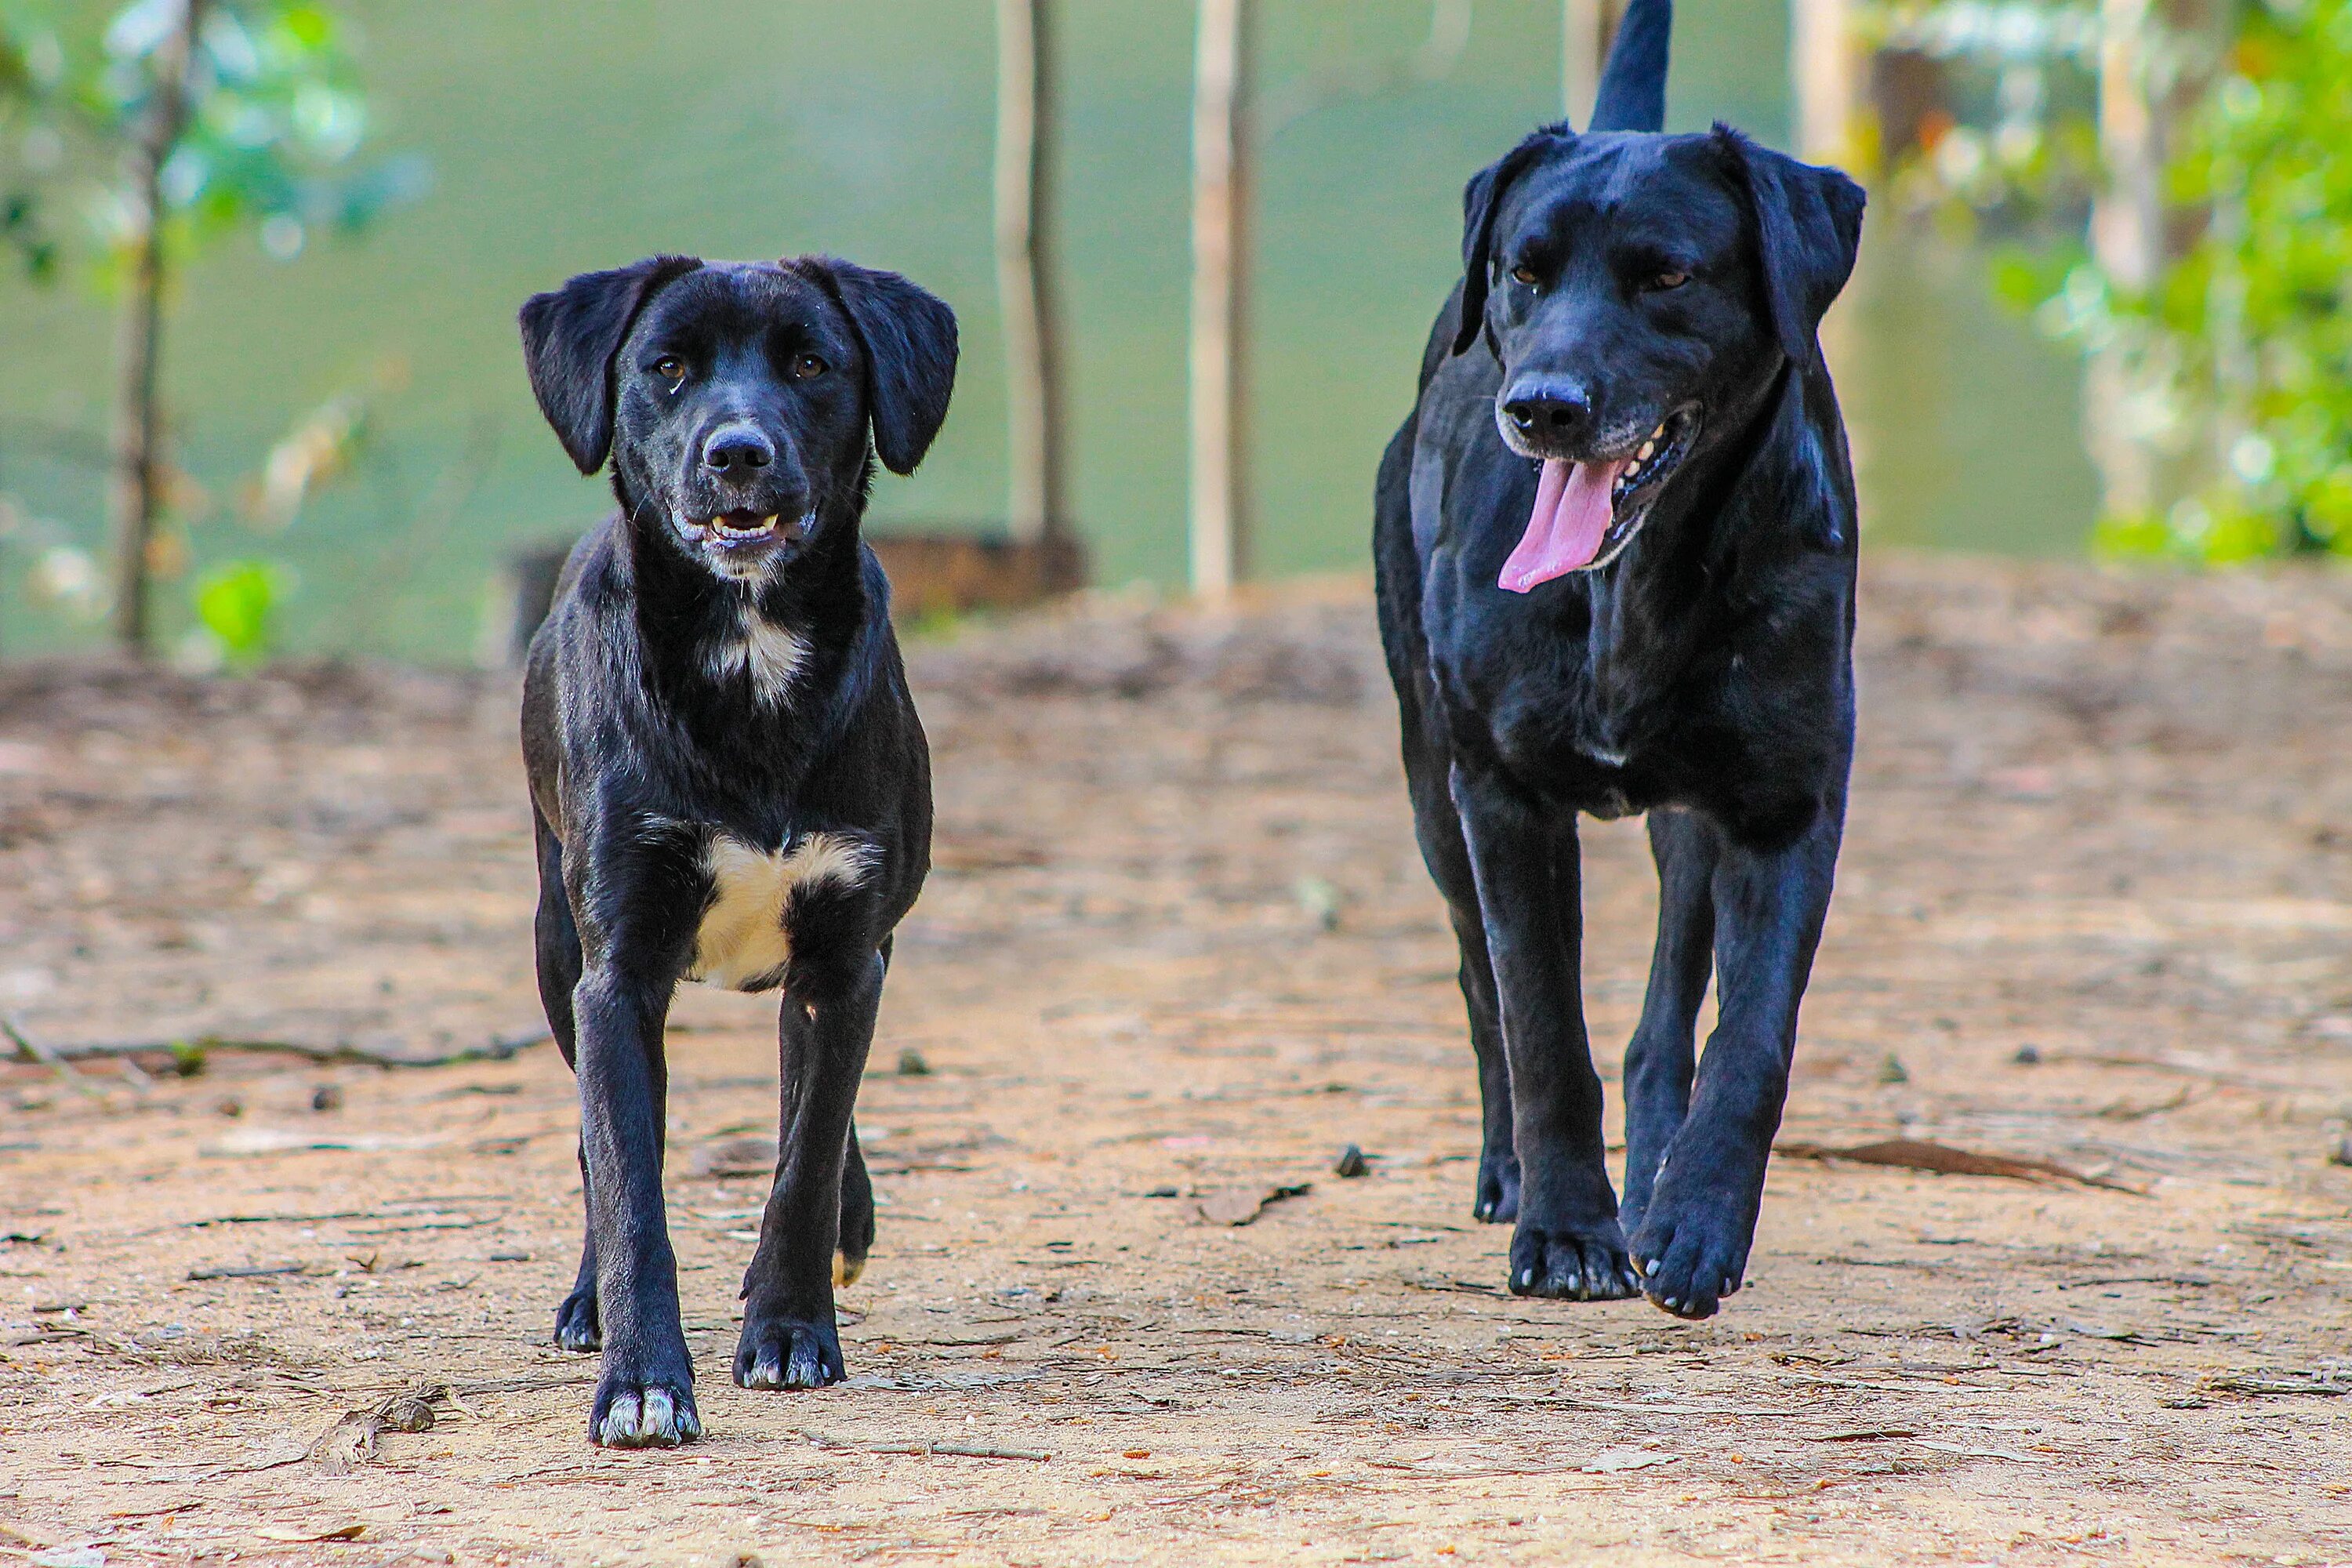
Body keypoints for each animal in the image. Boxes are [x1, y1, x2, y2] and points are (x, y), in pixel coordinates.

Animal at [520, 255, 950, 1448]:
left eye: (811, 362)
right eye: (668, 368)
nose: (738, 451)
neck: (750, 653)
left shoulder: (847, 954)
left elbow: (805, 1155)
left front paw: (792, 1327)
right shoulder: (617, 972)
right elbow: (630, 1183)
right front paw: (642, 1379)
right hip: (554, 947)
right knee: (604, 1146)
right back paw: (588, 1300)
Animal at [1374, 0, 1863, 1326]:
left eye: (1670, 275)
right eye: (1523, 272)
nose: (1540, 405)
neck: (1624, 593)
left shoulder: (1784, 806)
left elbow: (1749, 1041)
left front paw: (1693, 1227)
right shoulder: (1499, 794)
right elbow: (1541, 1025)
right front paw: (1560, 1233)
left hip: (1689, 822)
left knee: (1660, 1031)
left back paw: (1650, 1191)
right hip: (1429, 780)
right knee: (1479, 988)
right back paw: (1511, 1177)